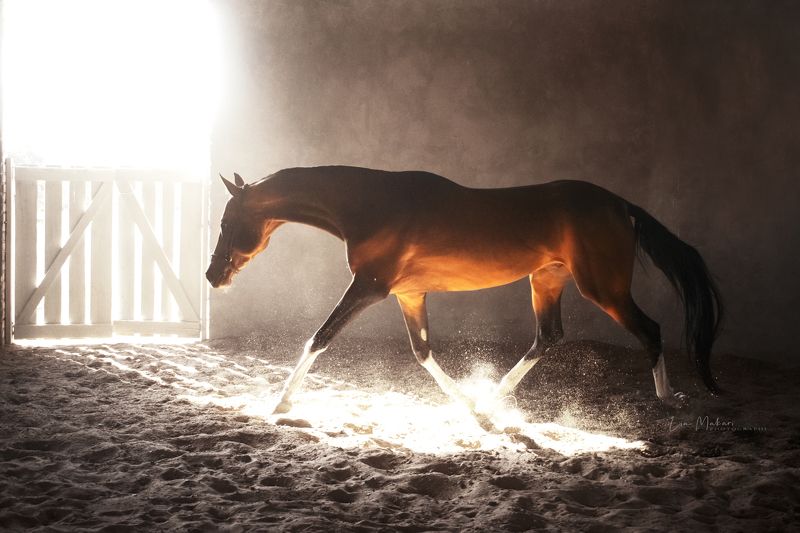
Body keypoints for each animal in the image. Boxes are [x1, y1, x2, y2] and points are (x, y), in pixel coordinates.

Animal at [206, 166, 722, 422]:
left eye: (227, 222)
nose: (213, 277)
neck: (368, 204)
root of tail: (622, 206)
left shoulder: (369, 287)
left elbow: (319, 337)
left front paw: (280, 403)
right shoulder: (408, 294)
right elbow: (422, 353)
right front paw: (470, 404)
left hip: (603, 287)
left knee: (649, 329)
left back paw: (668, 398)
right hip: (546, 280)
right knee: (548, 337)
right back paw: (492, 398)